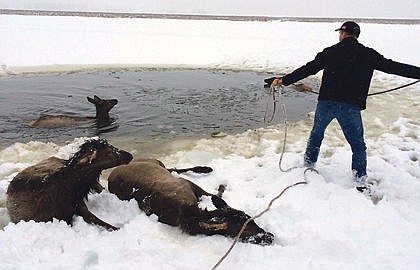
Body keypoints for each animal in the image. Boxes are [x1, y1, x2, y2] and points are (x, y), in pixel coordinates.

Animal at [106, 159, 274, 246]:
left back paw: (206, 168)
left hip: (159, 163)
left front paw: (221, 187)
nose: (270, 236)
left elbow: (216, 197)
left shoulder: (190, 185)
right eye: (241, 230)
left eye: (250, 217)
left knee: (173, 168)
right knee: (174, 168)